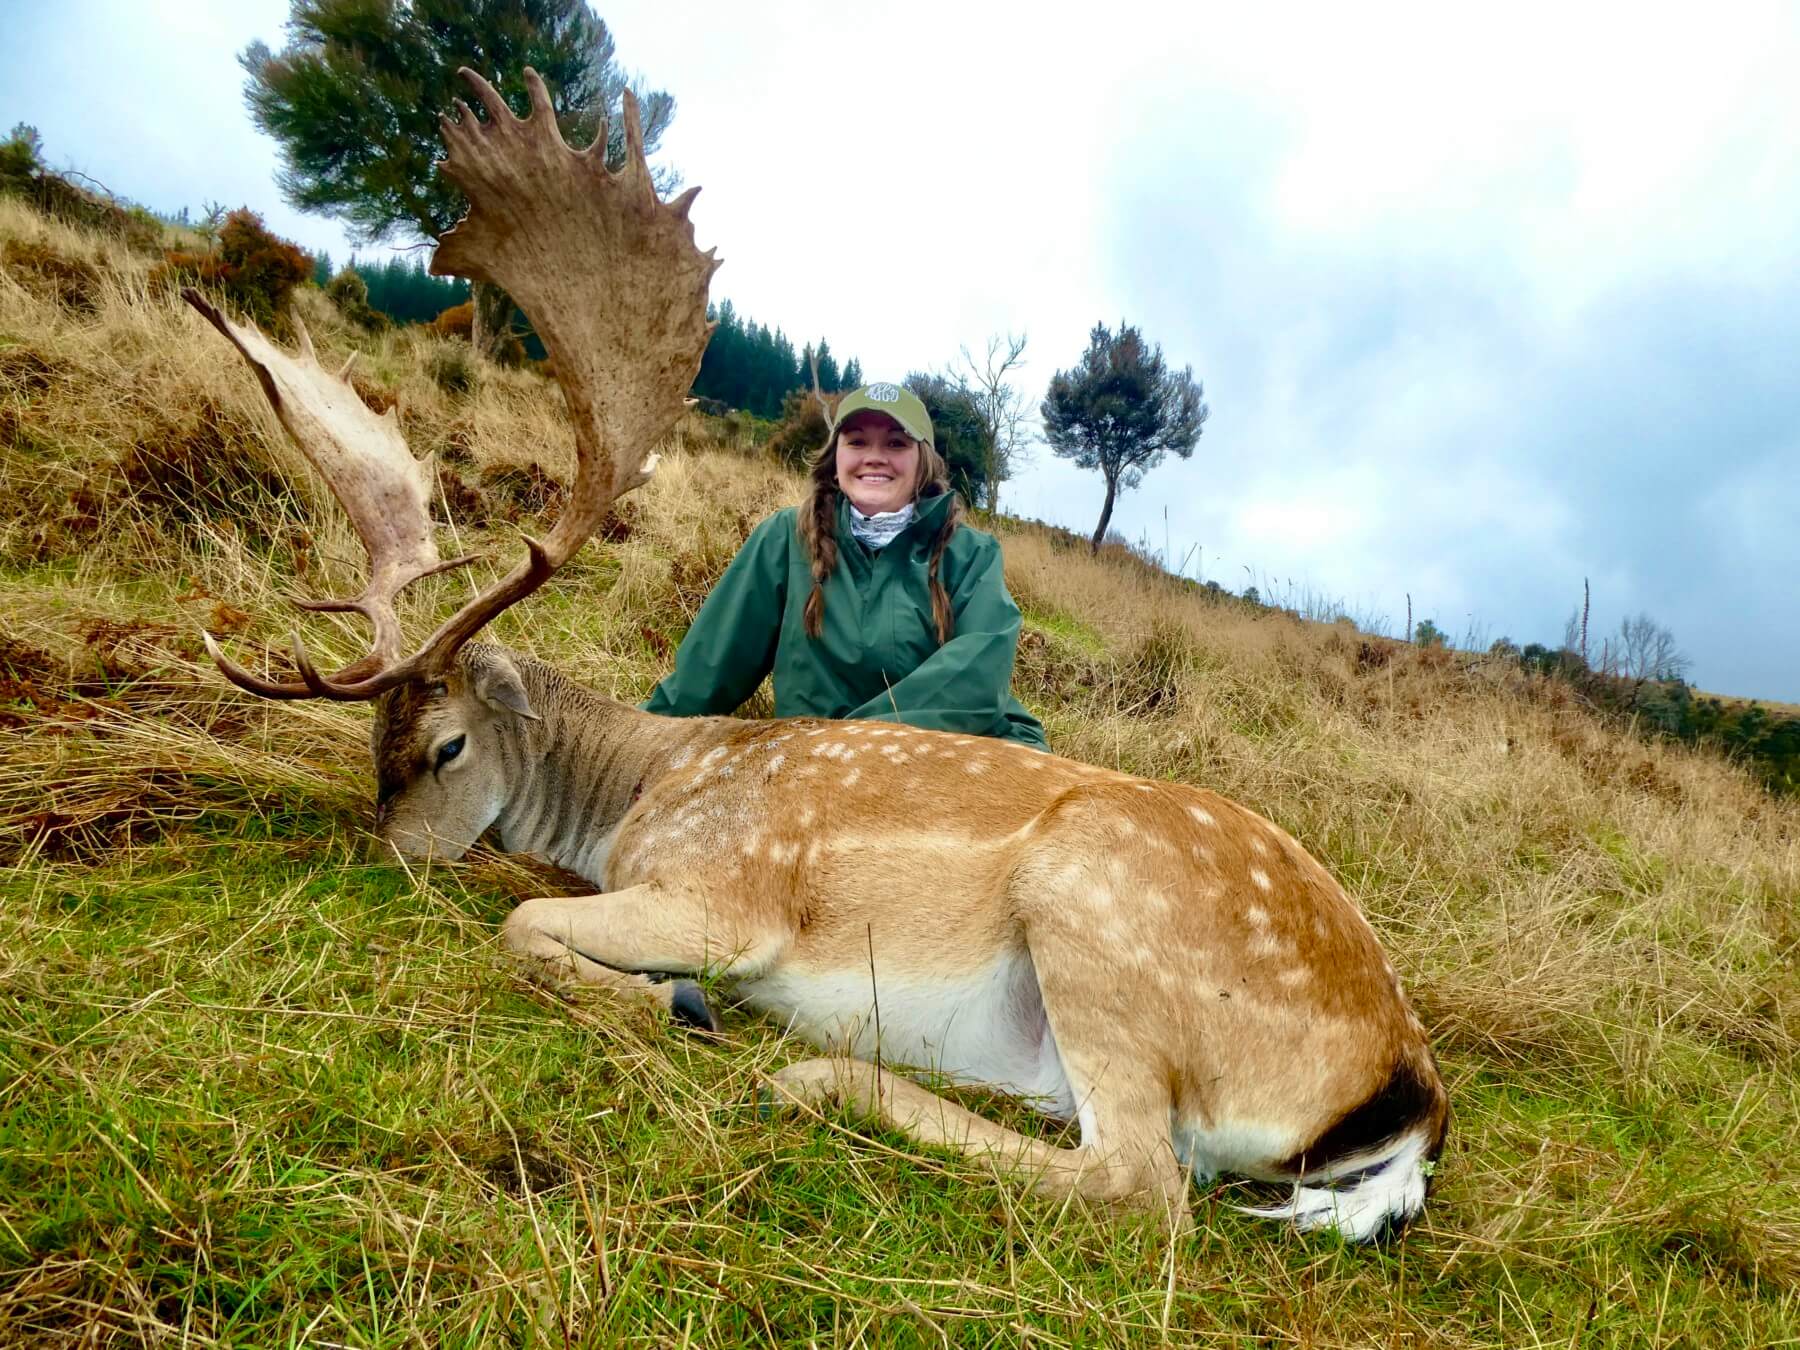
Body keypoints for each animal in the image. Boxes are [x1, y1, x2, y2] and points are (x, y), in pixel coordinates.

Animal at [186, 67, 1448, 1243]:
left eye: (447, 744)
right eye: (375, 740)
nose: (390, 857)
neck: (635, 793)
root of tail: (1409, 1095)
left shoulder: (725, 895)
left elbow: (521, 922)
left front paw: (674, 1003)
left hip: (1096, 909)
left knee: (1141, 1183)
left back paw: (812, 1079)